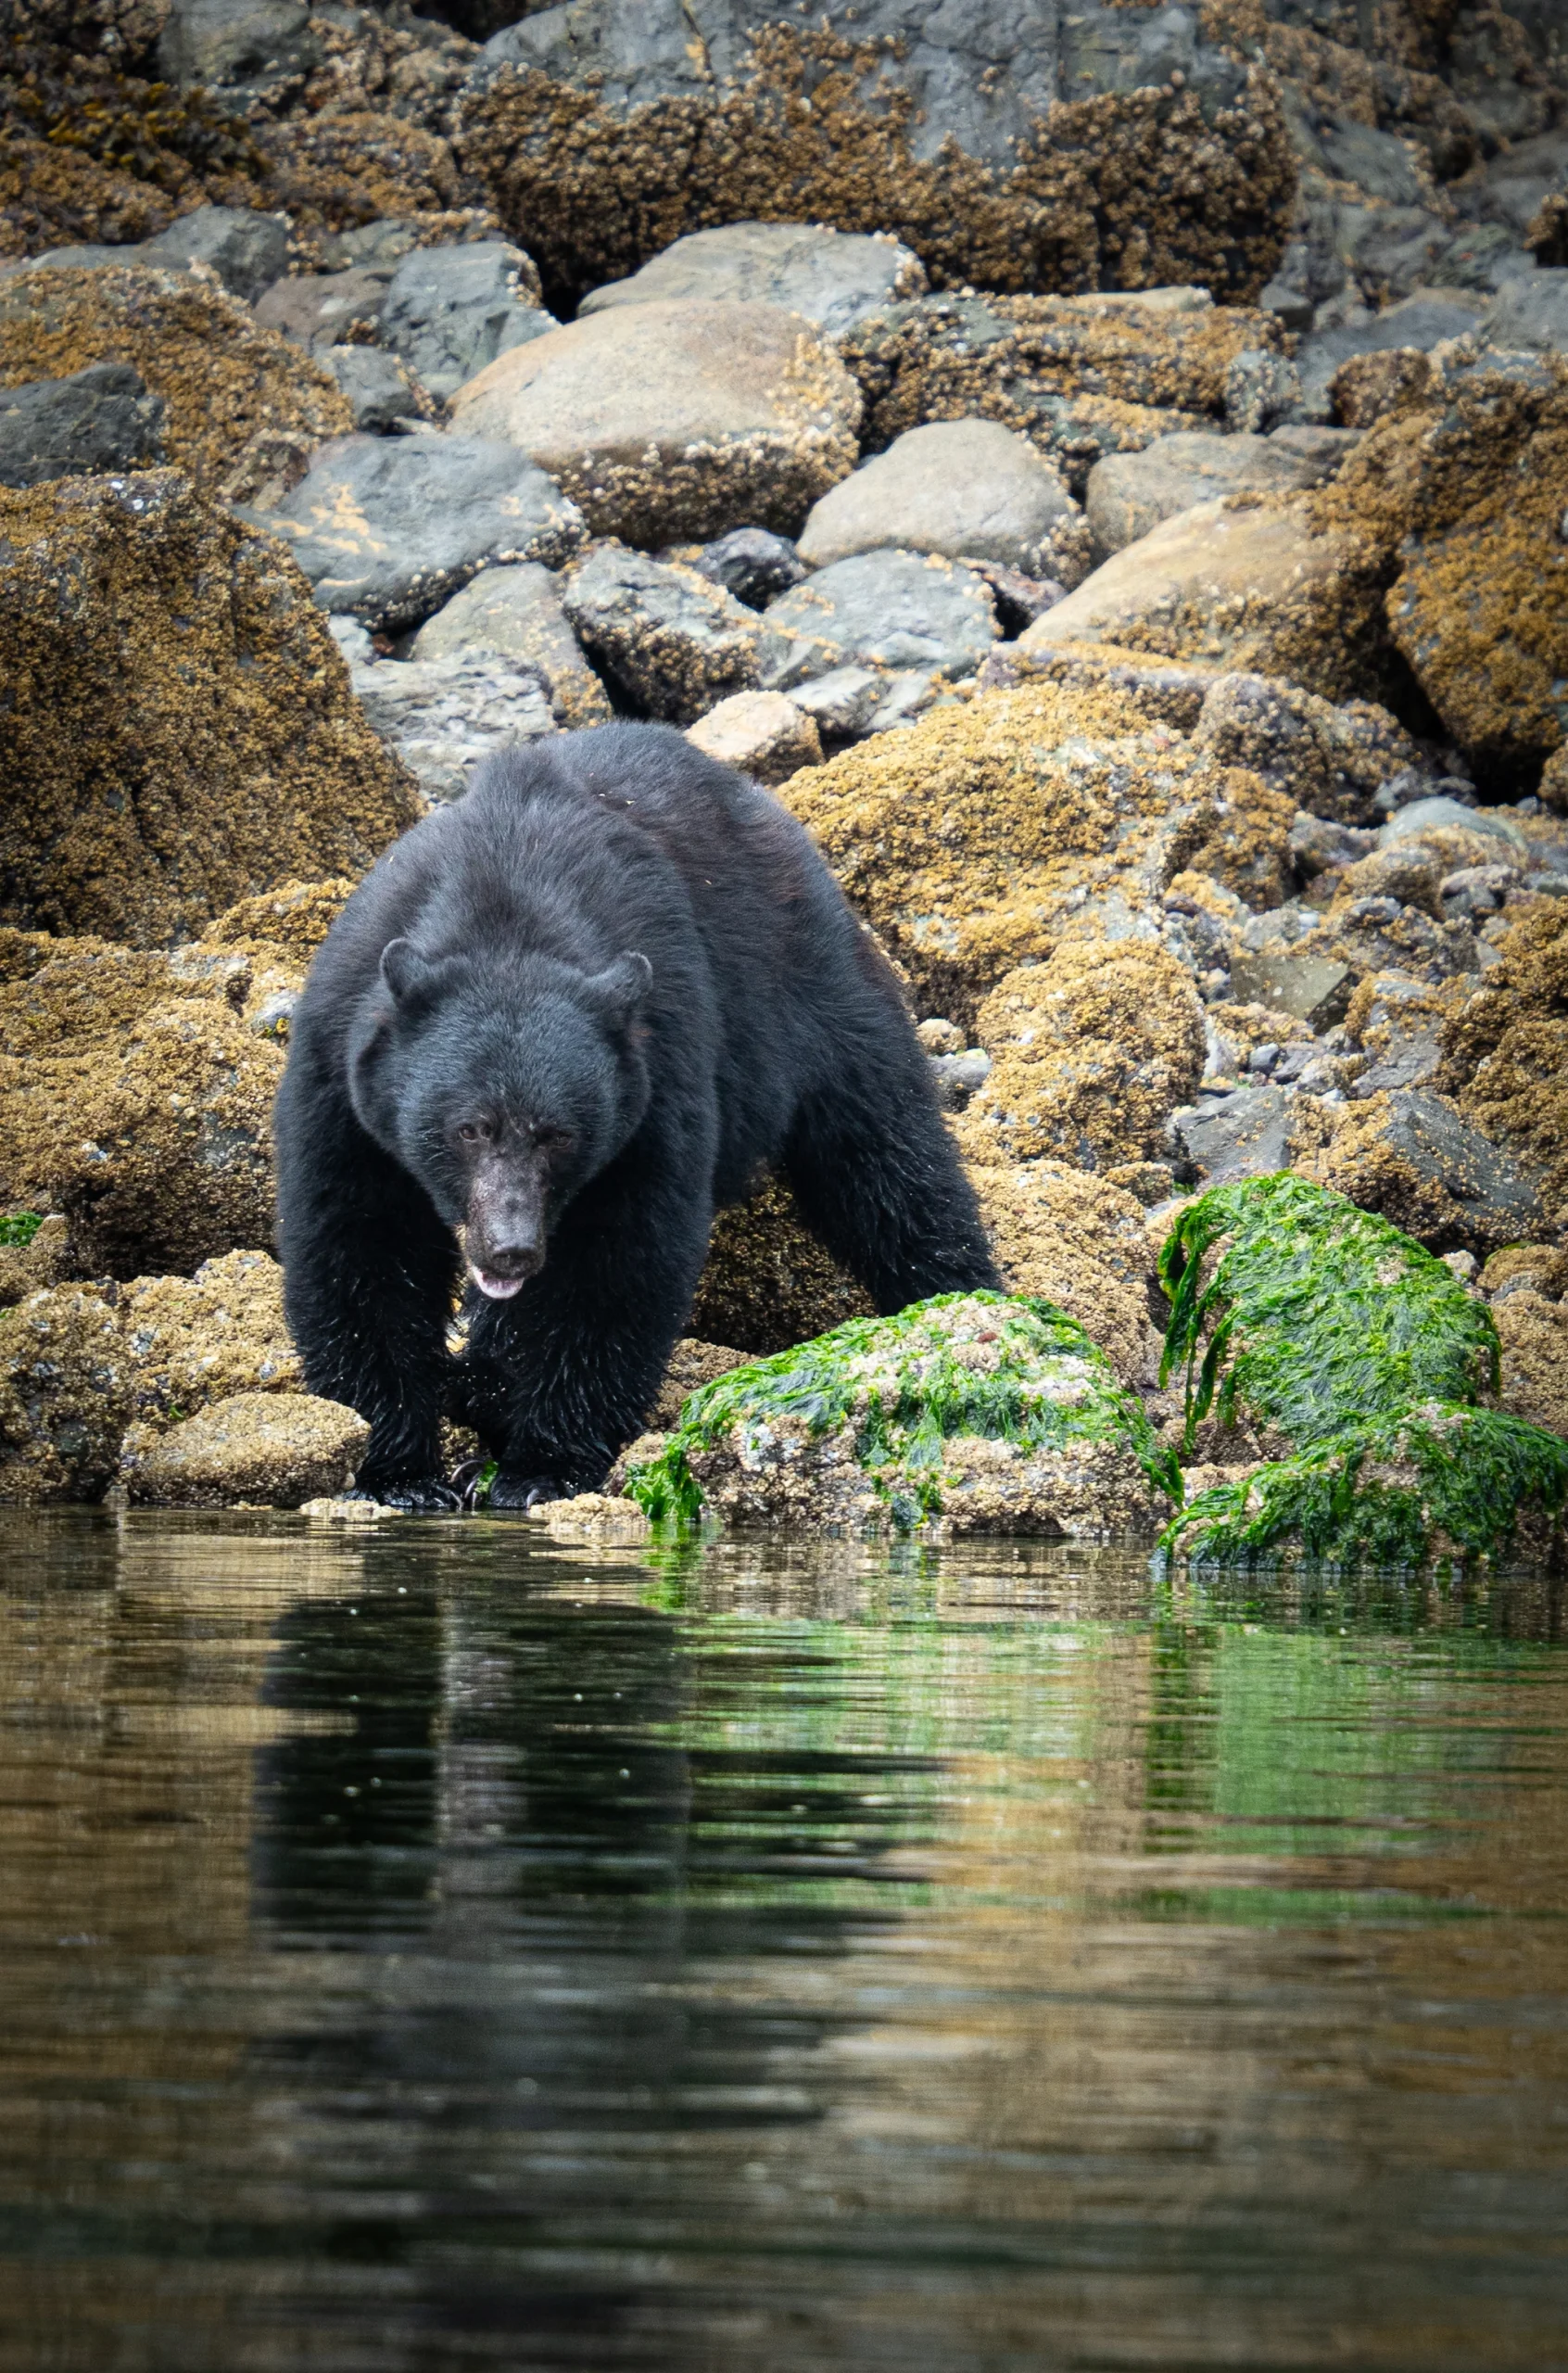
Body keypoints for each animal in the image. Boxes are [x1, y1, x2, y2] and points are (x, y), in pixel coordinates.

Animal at [274, 723, 999, 1512]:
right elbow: (358, 1245)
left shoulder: (655, 1070)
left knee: (888, 1159)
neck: (504, 908)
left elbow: (618, 1261)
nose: (511, 1249)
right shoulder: (340, 1073)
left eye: (559, 1136)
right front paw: (398, 1473)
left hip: (811, 986)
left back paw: (967, 1302)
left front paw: (542, 1467)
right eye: (469, 1128)